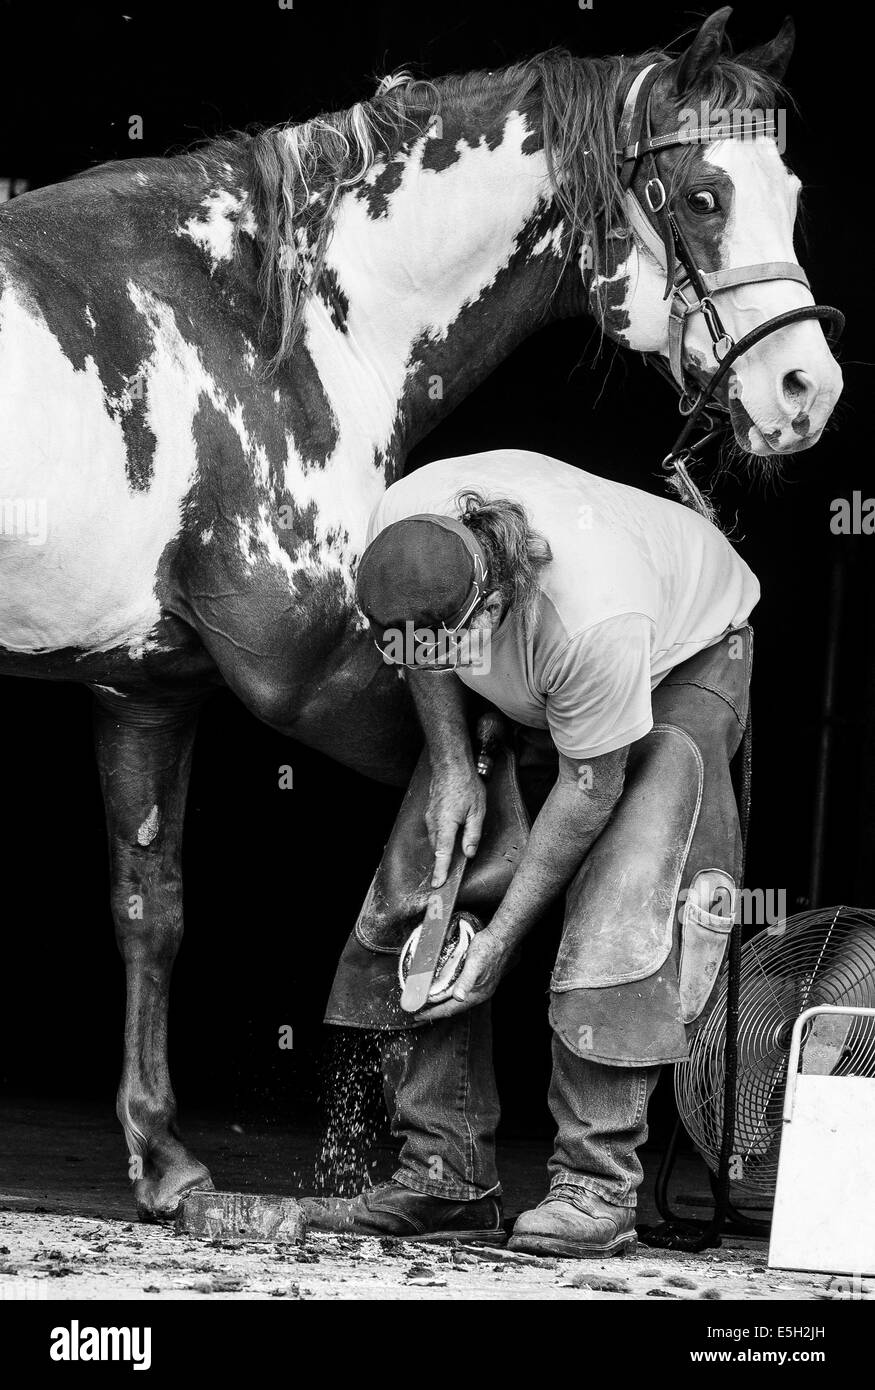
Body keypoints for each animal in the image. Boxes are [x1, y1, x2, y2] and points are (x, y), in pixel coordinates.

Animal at [0, 5, 845, 1212]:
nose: (801, 391)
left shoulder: (143, 687)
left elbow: (149, 909)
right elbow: (489, 822)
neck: (270, 321)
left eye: (790, 191)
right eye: (700, 197)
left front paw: (163, 1159)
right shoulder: (310, 680)